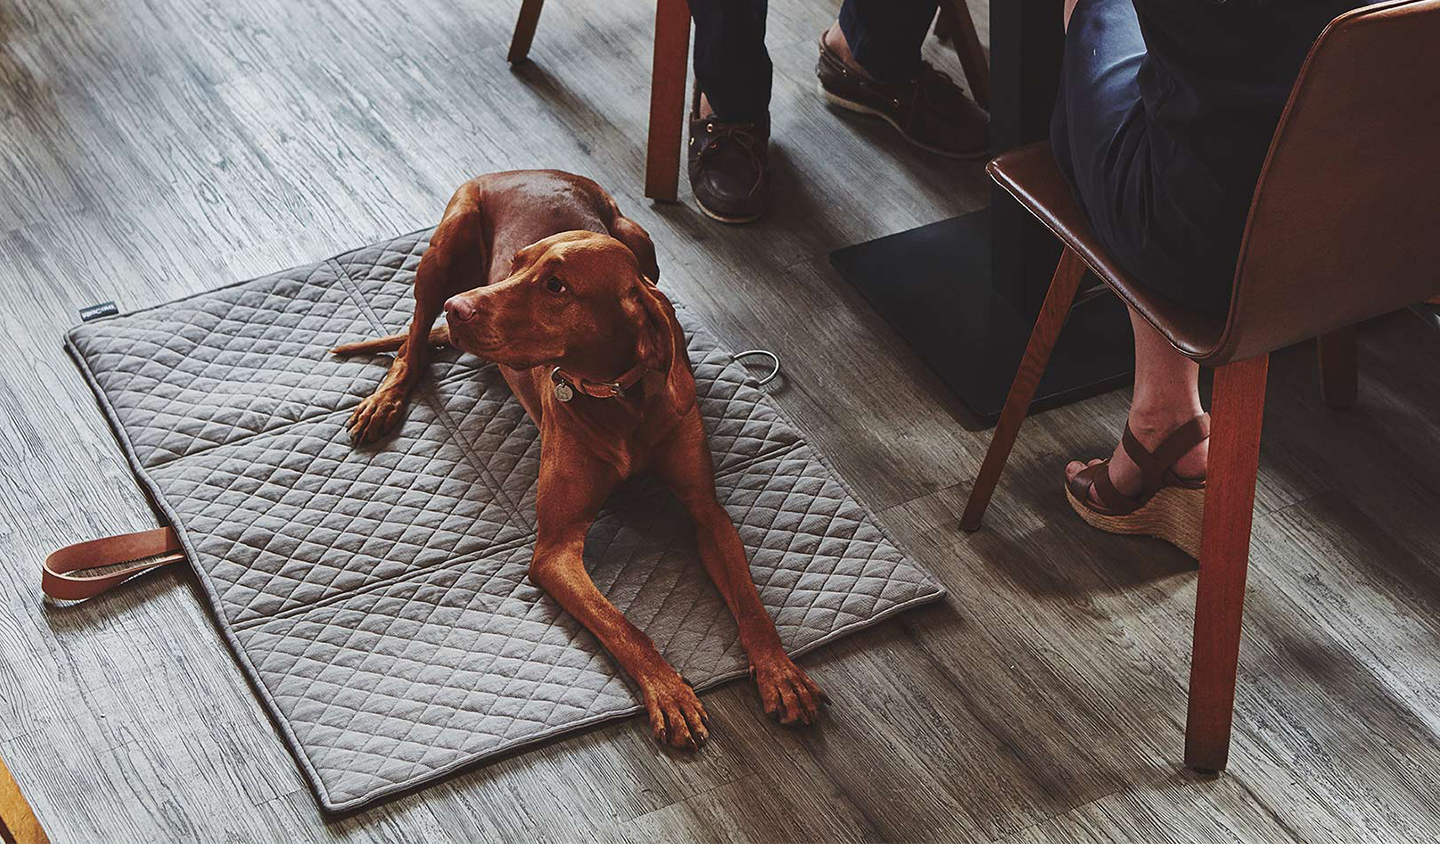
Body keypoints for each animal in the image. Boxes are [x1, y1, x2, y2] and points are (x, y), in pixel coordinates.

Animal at [329, 169, 823, 743]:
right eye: (516, 263)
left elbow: (750, 601)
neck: (617, 395)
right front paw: (669, 690)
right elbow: (622, 624)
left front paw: (780, 673)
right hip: (444, 249)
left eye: (556, 286)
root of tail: (521, 170)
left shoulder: (708, 512)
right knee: (411, 344)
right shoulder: (555, 549)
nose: (459, 308)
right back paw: (384, 401)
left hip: (639, 238)